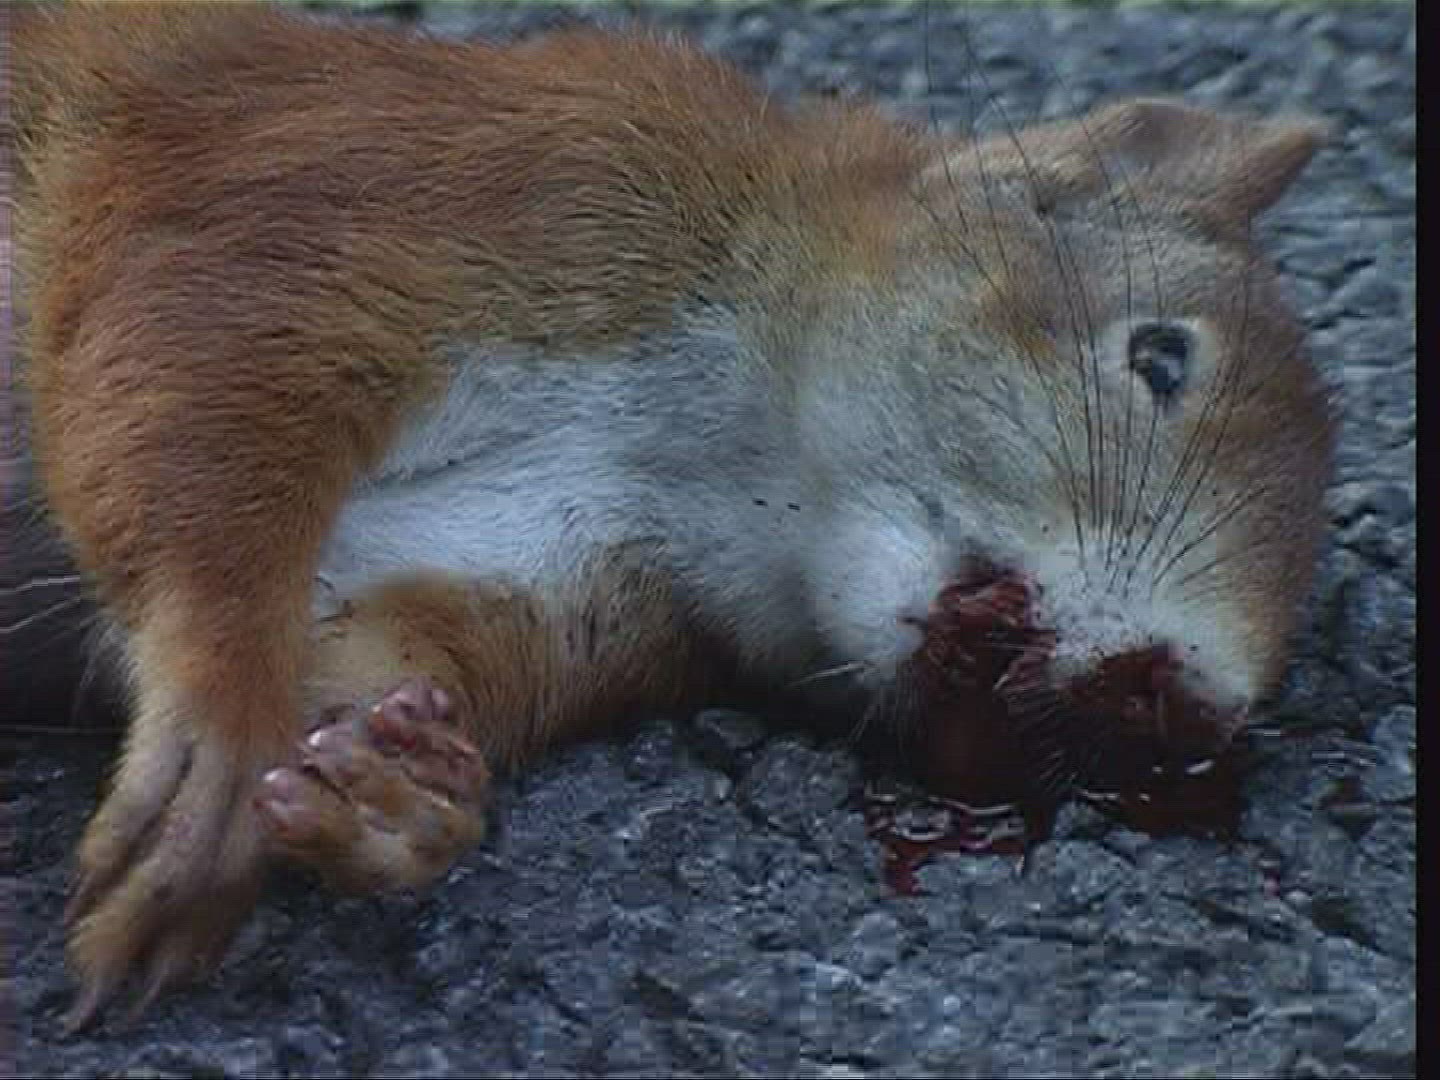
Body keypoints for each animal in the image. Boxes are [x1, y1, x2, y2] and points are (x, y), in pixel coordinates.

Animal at [6, 2, 1334, 1028]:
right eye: (1161, 356)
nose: (1179, 705)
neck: (712, 457)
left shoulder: (549, 575)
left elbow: (372, 642)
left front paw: (403, 795)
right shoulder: (408, 180)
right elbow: (192, 364)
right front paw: (216, 750)